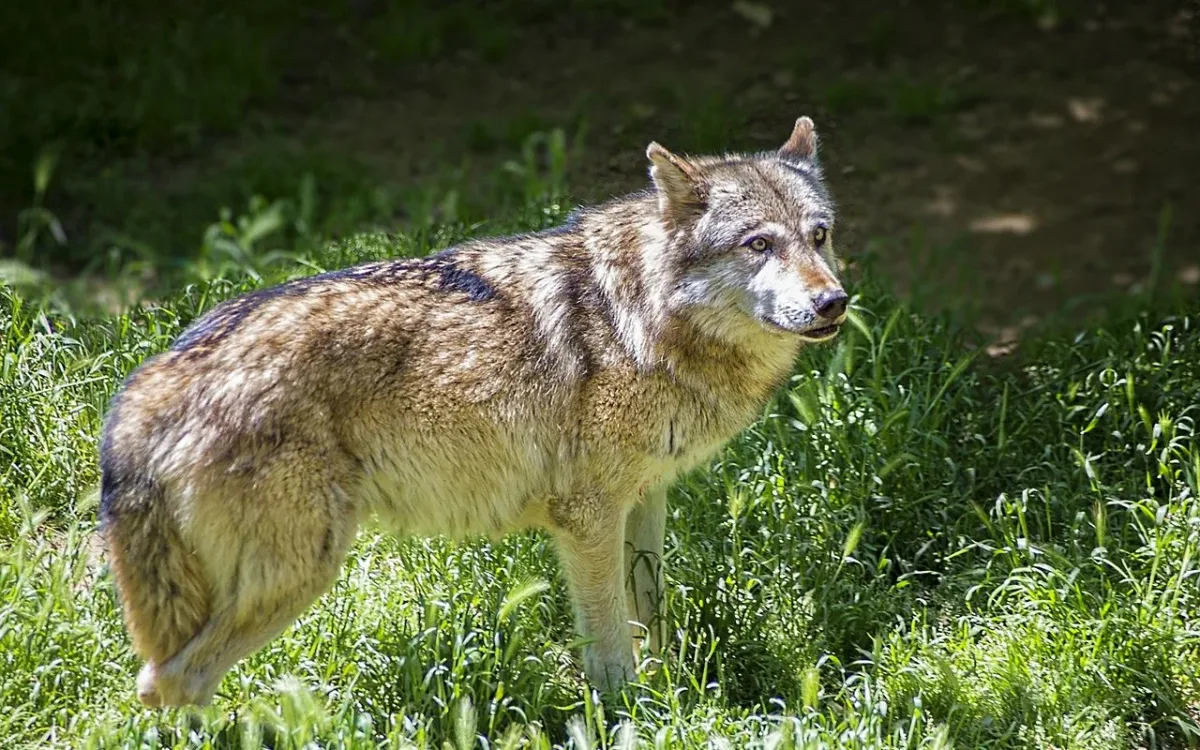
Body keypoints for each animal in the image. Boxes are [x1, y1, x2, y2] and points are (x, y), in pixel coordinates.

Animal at [99, 116, 848, 707]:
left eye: (818, 236)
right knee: (168, 682)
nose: (834, 302)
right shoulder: (586, 518)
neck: (641, 316)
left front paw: (673, 695)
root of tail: (147, 382)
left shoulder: (646, 497)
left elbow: (650, 616)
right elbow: (609, 650)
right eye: (759, 244)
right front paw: (635, 715)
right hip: (296, 574)